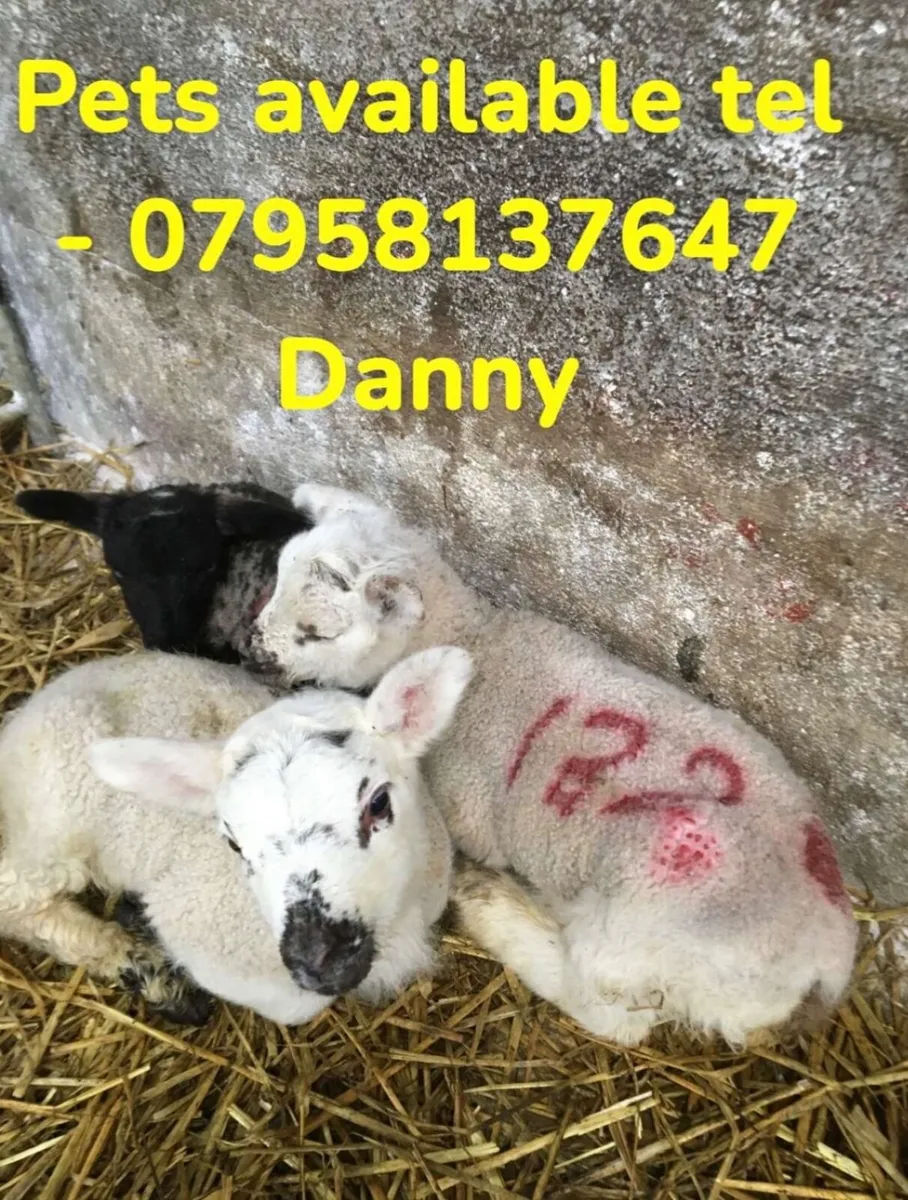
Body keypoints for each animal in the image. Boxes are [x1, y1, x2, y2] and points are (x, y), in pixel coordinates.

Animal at [0, 645, 471, 1025]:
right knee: (17, 899)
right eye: (234, 844)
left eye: (378, 803)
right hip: (51, 827)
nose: (319, 963)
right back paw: (138, 964)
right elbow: (298, 1007)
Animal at [248, 483, 859, 1047]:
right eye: (276, 579)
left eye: (315, 631)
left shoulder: (465, 809)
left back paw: (492, 904)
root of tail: (825, 960)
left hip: (639, 935)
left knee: (609, 1013)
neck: (474, 639)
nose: (253, 648)